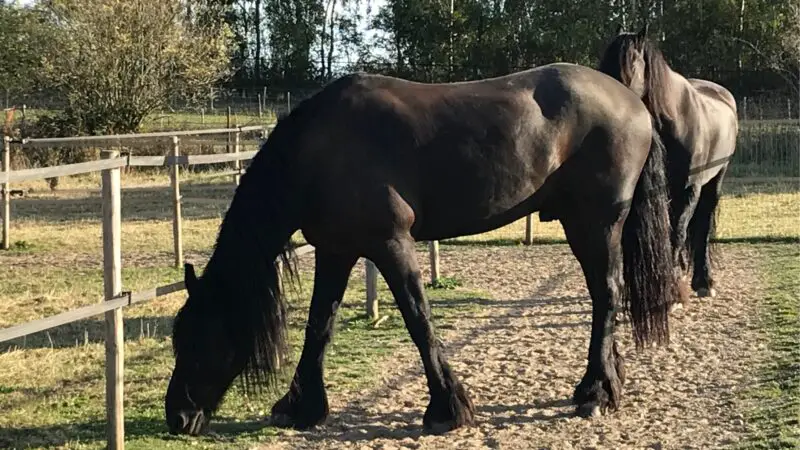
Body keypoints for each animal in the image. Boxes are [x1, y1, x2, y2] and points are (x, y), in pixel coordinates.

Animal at [164, 61, 688, 434]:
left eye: (198, 339)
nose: (178, 418)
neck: (318, 152)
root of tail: (632, 101)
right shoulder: (336, 251)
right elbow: (320, 326)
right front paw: (302, 407)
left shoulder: (391, 244)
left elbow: (419, 320)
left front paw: (447, 409)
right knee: (605, 296)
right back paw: (607, 382)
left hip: (595, 224)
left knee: (607, 295)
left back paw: (595, 393)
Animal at [596, 24, 740, 298]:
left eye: (630, 62)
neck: (677, 121)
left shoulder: (689, 189)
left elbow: (679, 231)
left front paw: (672, 288)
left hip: (715, 180)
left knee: (702, 226)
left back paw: (703, 281)